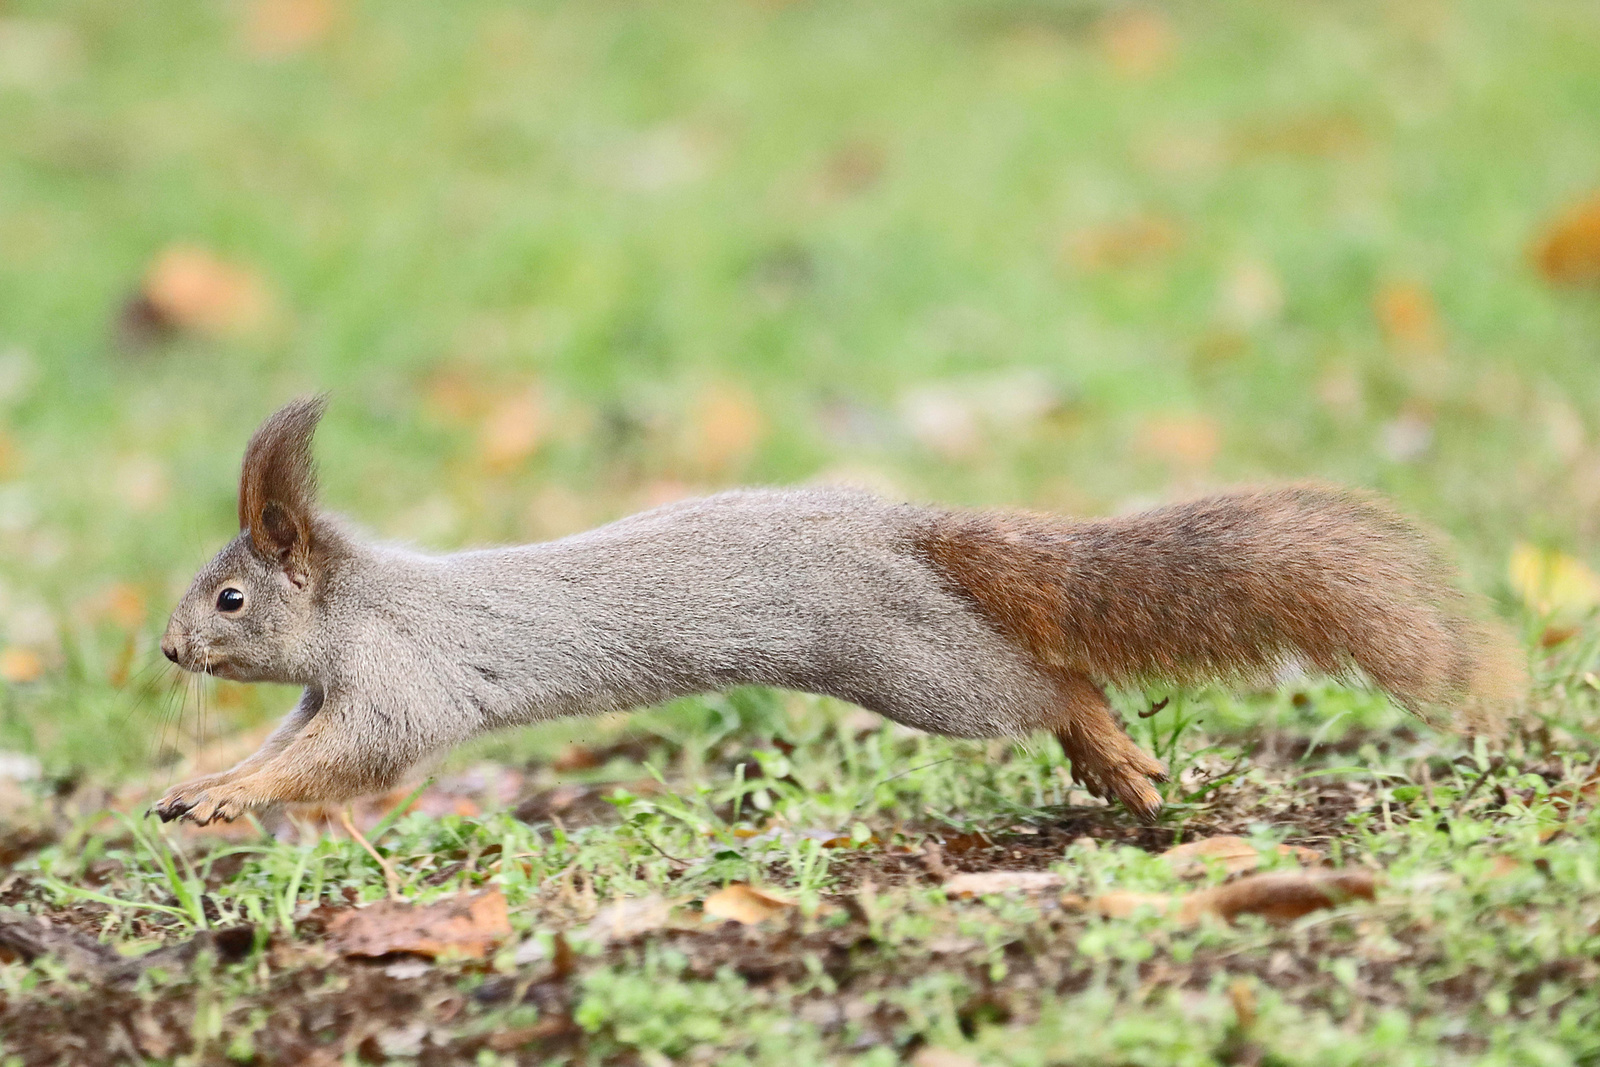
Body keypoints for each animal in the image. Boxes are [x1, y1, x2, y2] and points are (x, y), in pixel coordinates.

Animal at [152, 396, 1523, 825]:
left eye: (230, 594)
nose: (166, 646)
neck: (358, 602)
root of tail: (906, 527)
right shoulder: (324, 688)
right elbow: (285, 746)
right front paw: (200, 785)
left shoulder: (402, 678)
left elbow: (357, 755)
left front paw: (224, 801)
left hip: (917, 667)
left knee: (1046, 684)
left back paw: (1105, 746)